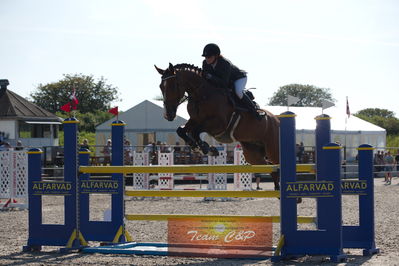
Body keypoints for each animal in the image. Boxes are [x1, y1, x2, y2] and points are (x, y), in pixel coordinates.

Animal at [154, 63, 282, 190]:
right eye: (160, 86)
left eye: (173, 85)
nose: (168, 115)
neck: (201, 94)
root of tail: (276, 120)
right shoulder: (194, 120)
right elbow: (181, 130)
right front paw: (200, 147)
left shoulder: (219, 124)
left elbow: (195, 131)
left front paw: (205, 148)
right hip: (253, 154)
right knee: (272, 169)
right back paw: (277, 189)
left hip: (272, 149)